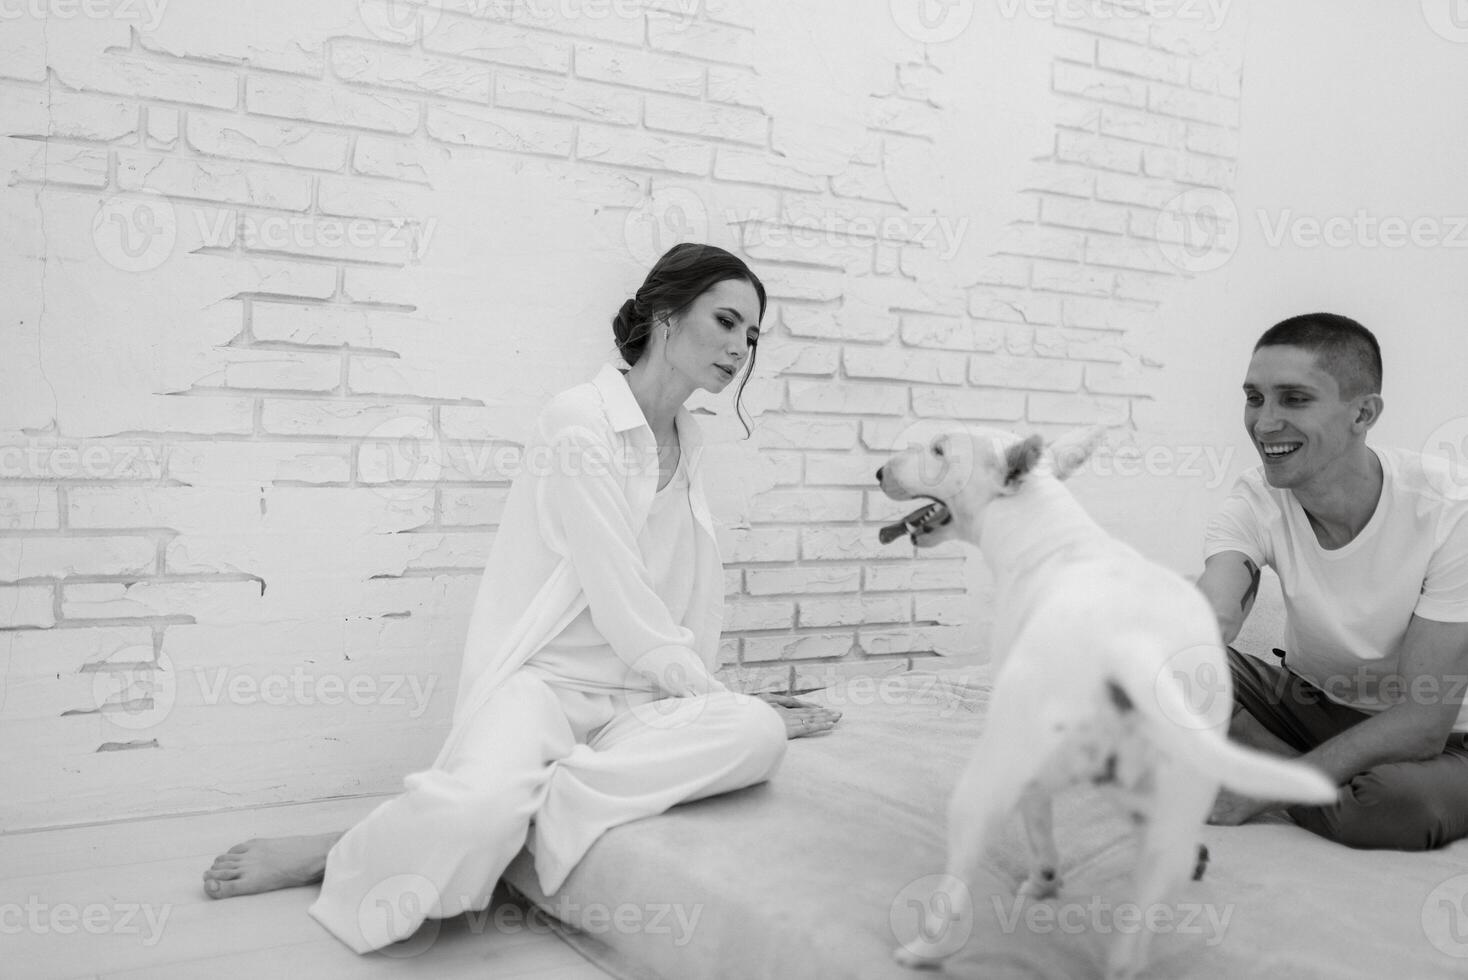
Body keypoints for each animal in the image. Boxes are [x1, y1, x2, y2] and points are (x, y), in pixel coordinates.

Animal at [874, 425, 1338, 979]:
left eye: (939, 450)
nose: (878, 472)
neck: (1048, 531)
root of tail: (1129, 647)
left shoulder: (1026, 772)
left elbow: (1038, 827)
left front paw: (1043, 881)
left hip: (990, 779)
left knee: (958, 883)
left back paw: (922, 950)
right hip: (1170, 805)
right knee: (1136, 931)